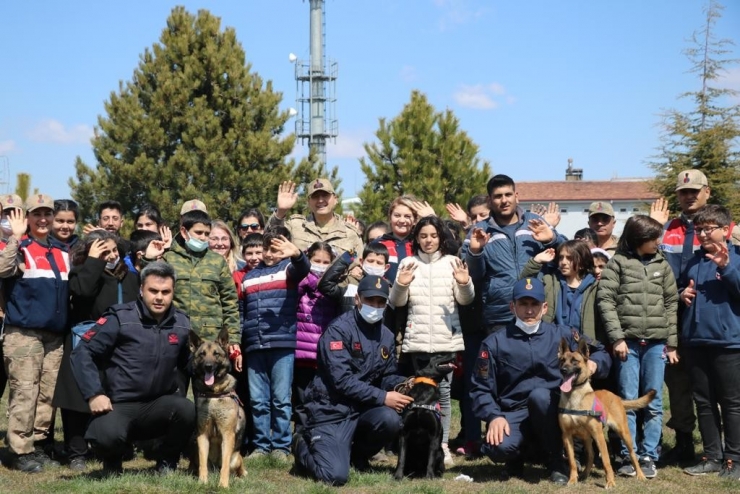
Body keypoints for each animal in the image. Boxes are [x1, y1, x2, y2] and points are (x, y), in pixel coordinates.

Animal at [189, 328, 247, 486]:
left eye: (216, 354)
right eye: (202, 354)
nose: (208, 366)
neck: (213, 393)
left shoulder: (228, 435)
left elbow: (225, 465)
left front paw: (223, 485)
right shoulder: (202, 435)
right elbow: (203, 463)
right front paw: (202, 481)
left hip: (237, 457)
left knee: (237, 469)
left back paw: (239, 478)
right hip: (195, 452)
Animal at [556, 338, 656, 488]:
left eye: (575, 361)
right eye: (562, 360)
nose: (563, 370)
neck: (575, 397)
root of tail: (617, 397)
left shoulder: (599, 435)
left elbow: (606, 461)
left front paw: (610, 482)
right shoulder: (567, 436)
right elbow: (572, 461)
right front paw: (572, 479)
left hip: (623, 433)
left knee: (633, 455)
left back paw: (641, 475)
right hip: (587, 437)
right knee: (591, 455)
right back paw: (584, 475)